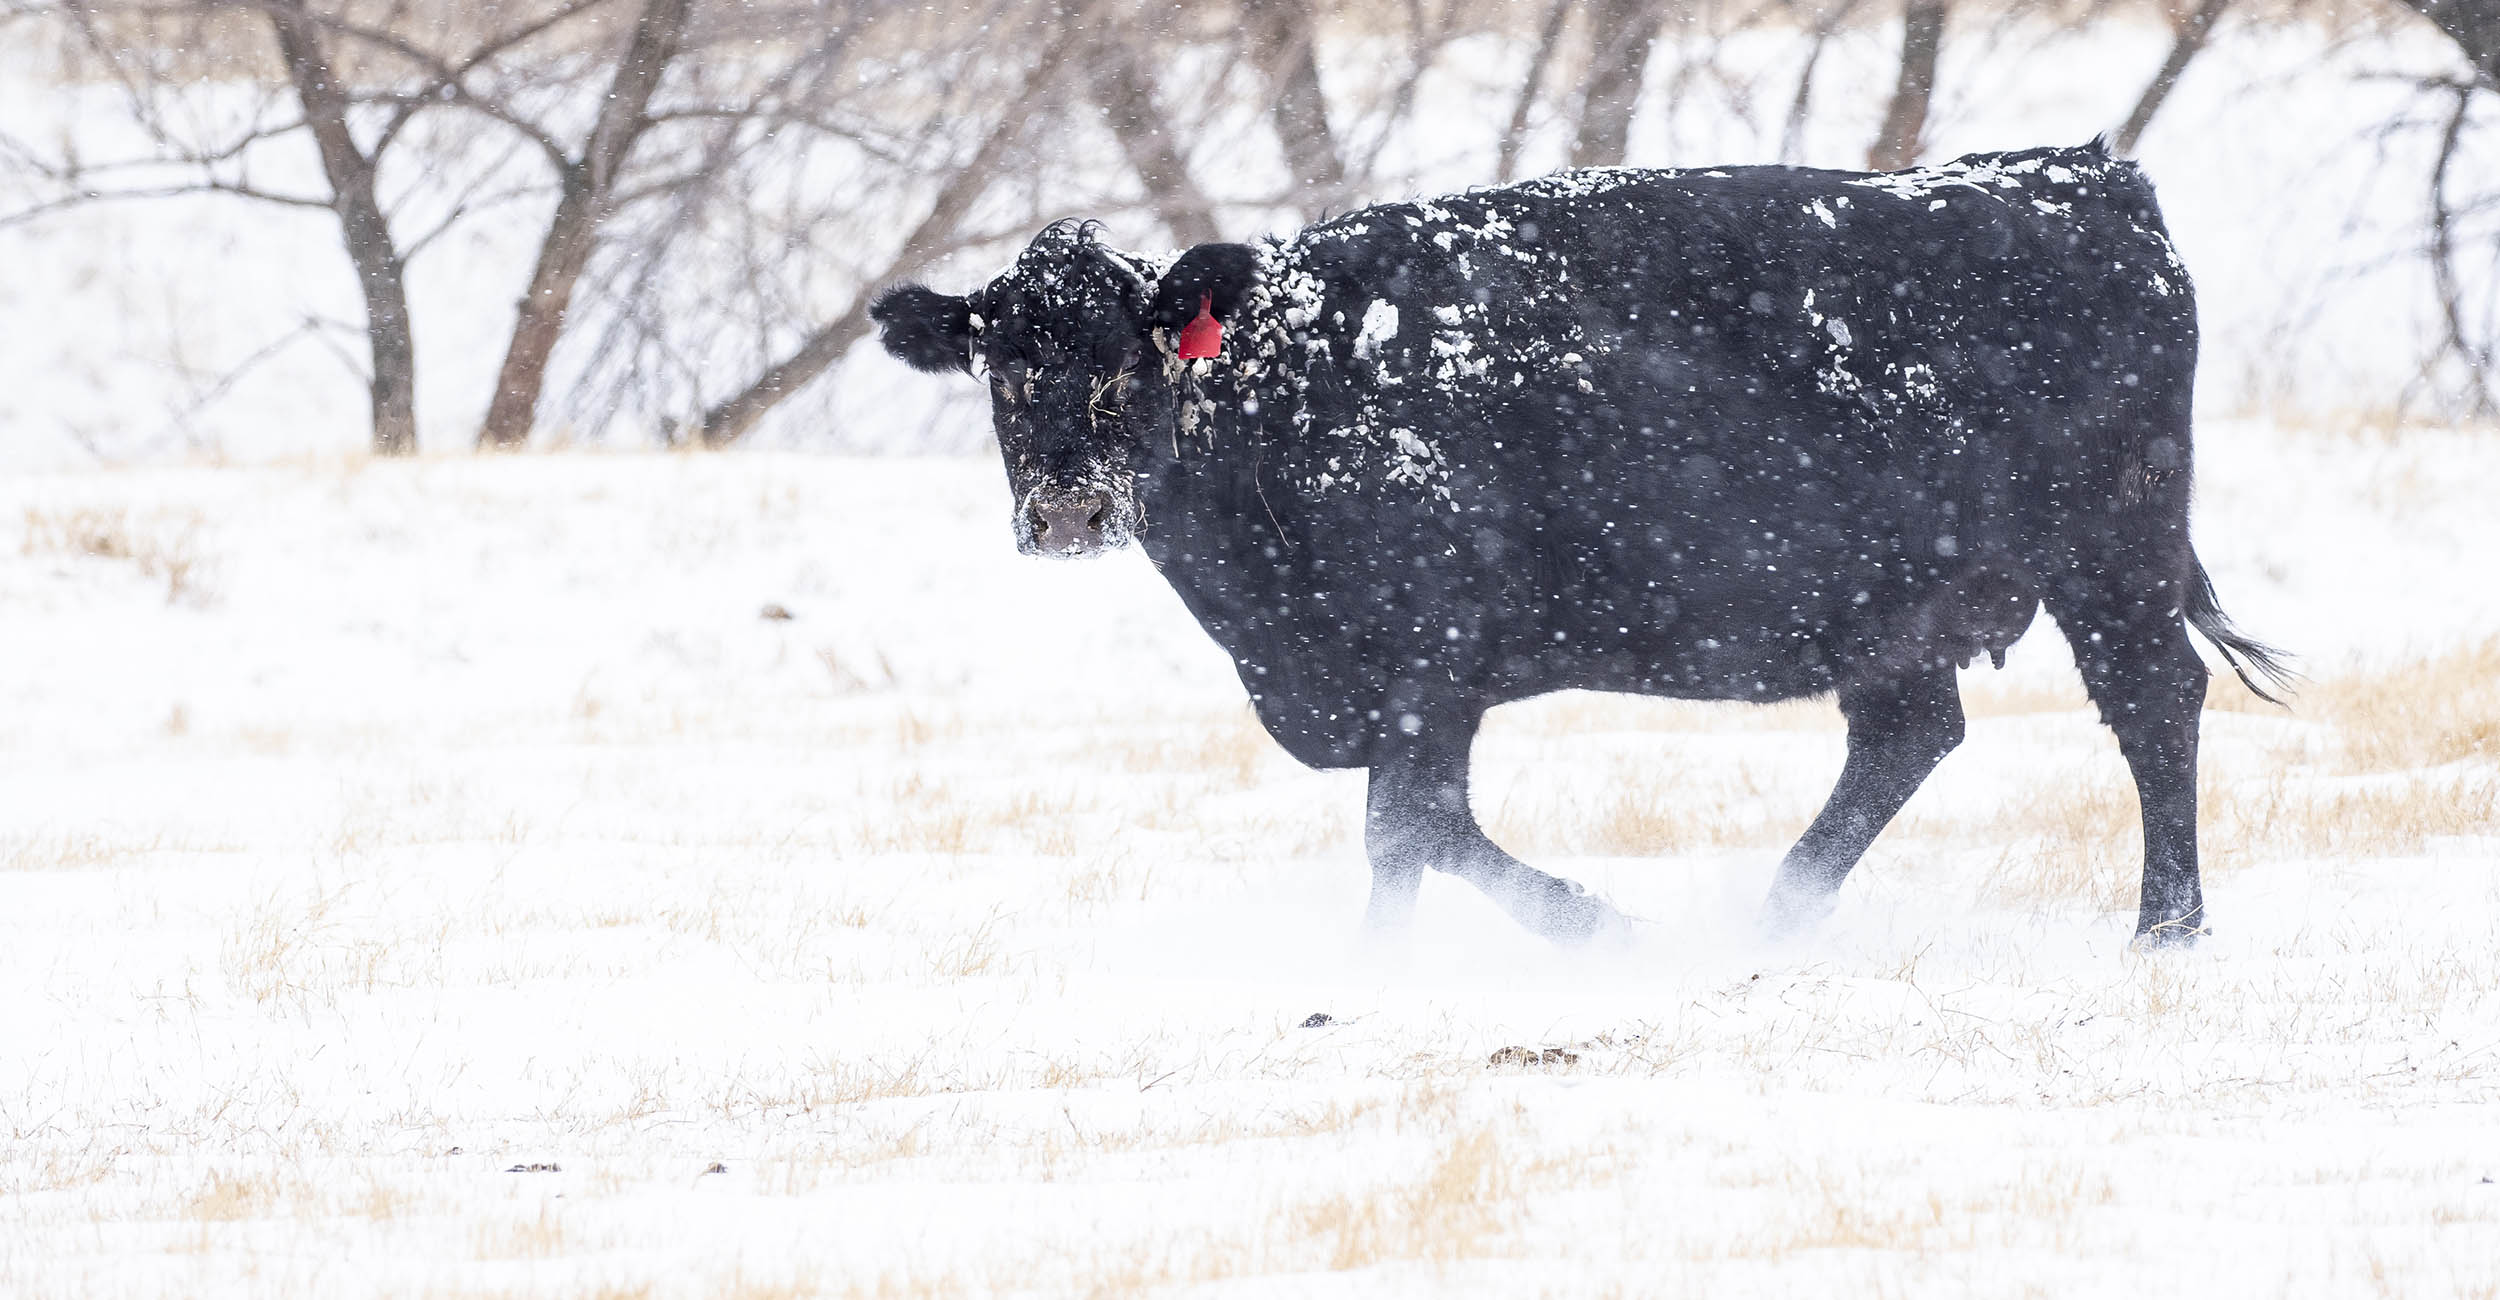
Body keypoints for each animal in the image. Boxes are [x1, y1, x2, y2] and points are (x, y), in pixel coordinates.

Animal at [870, 139, 2290, 950]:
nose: (1067, 510)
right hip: (1893, 610)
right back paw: (1767, 923)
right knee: (1906, 738)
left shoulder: (1427, 661)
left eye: (1132, 354)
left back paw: (2165, 929)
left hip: (2108, 555)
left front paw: (1404, 967)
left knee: (2153, 703)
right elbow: (1436, 827)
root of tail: (2084, 175)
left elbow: (1408, 829)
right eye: (1001, 366)